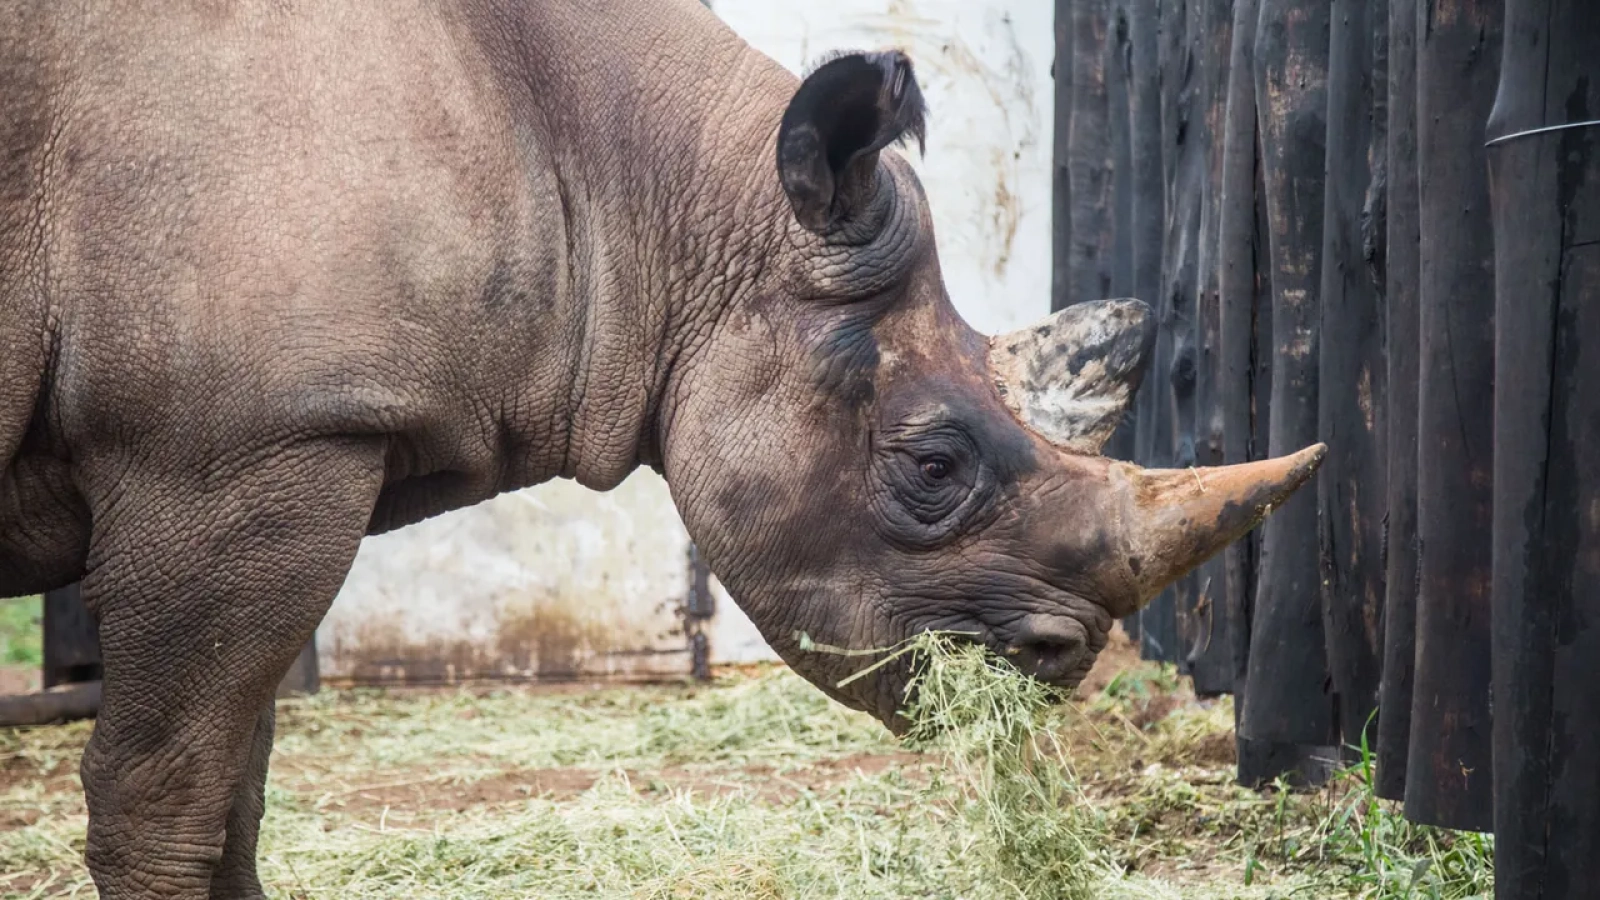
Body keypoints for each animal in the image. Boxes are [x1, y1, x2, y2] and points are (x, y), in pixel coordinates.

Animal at [0, 0, 1323, 896]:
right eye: (934, 468)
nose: (1066, 664)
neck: (642, 191)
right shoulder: (227, 443)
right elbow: (166, 794)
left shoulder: (277, 444)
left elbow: (239, 783)